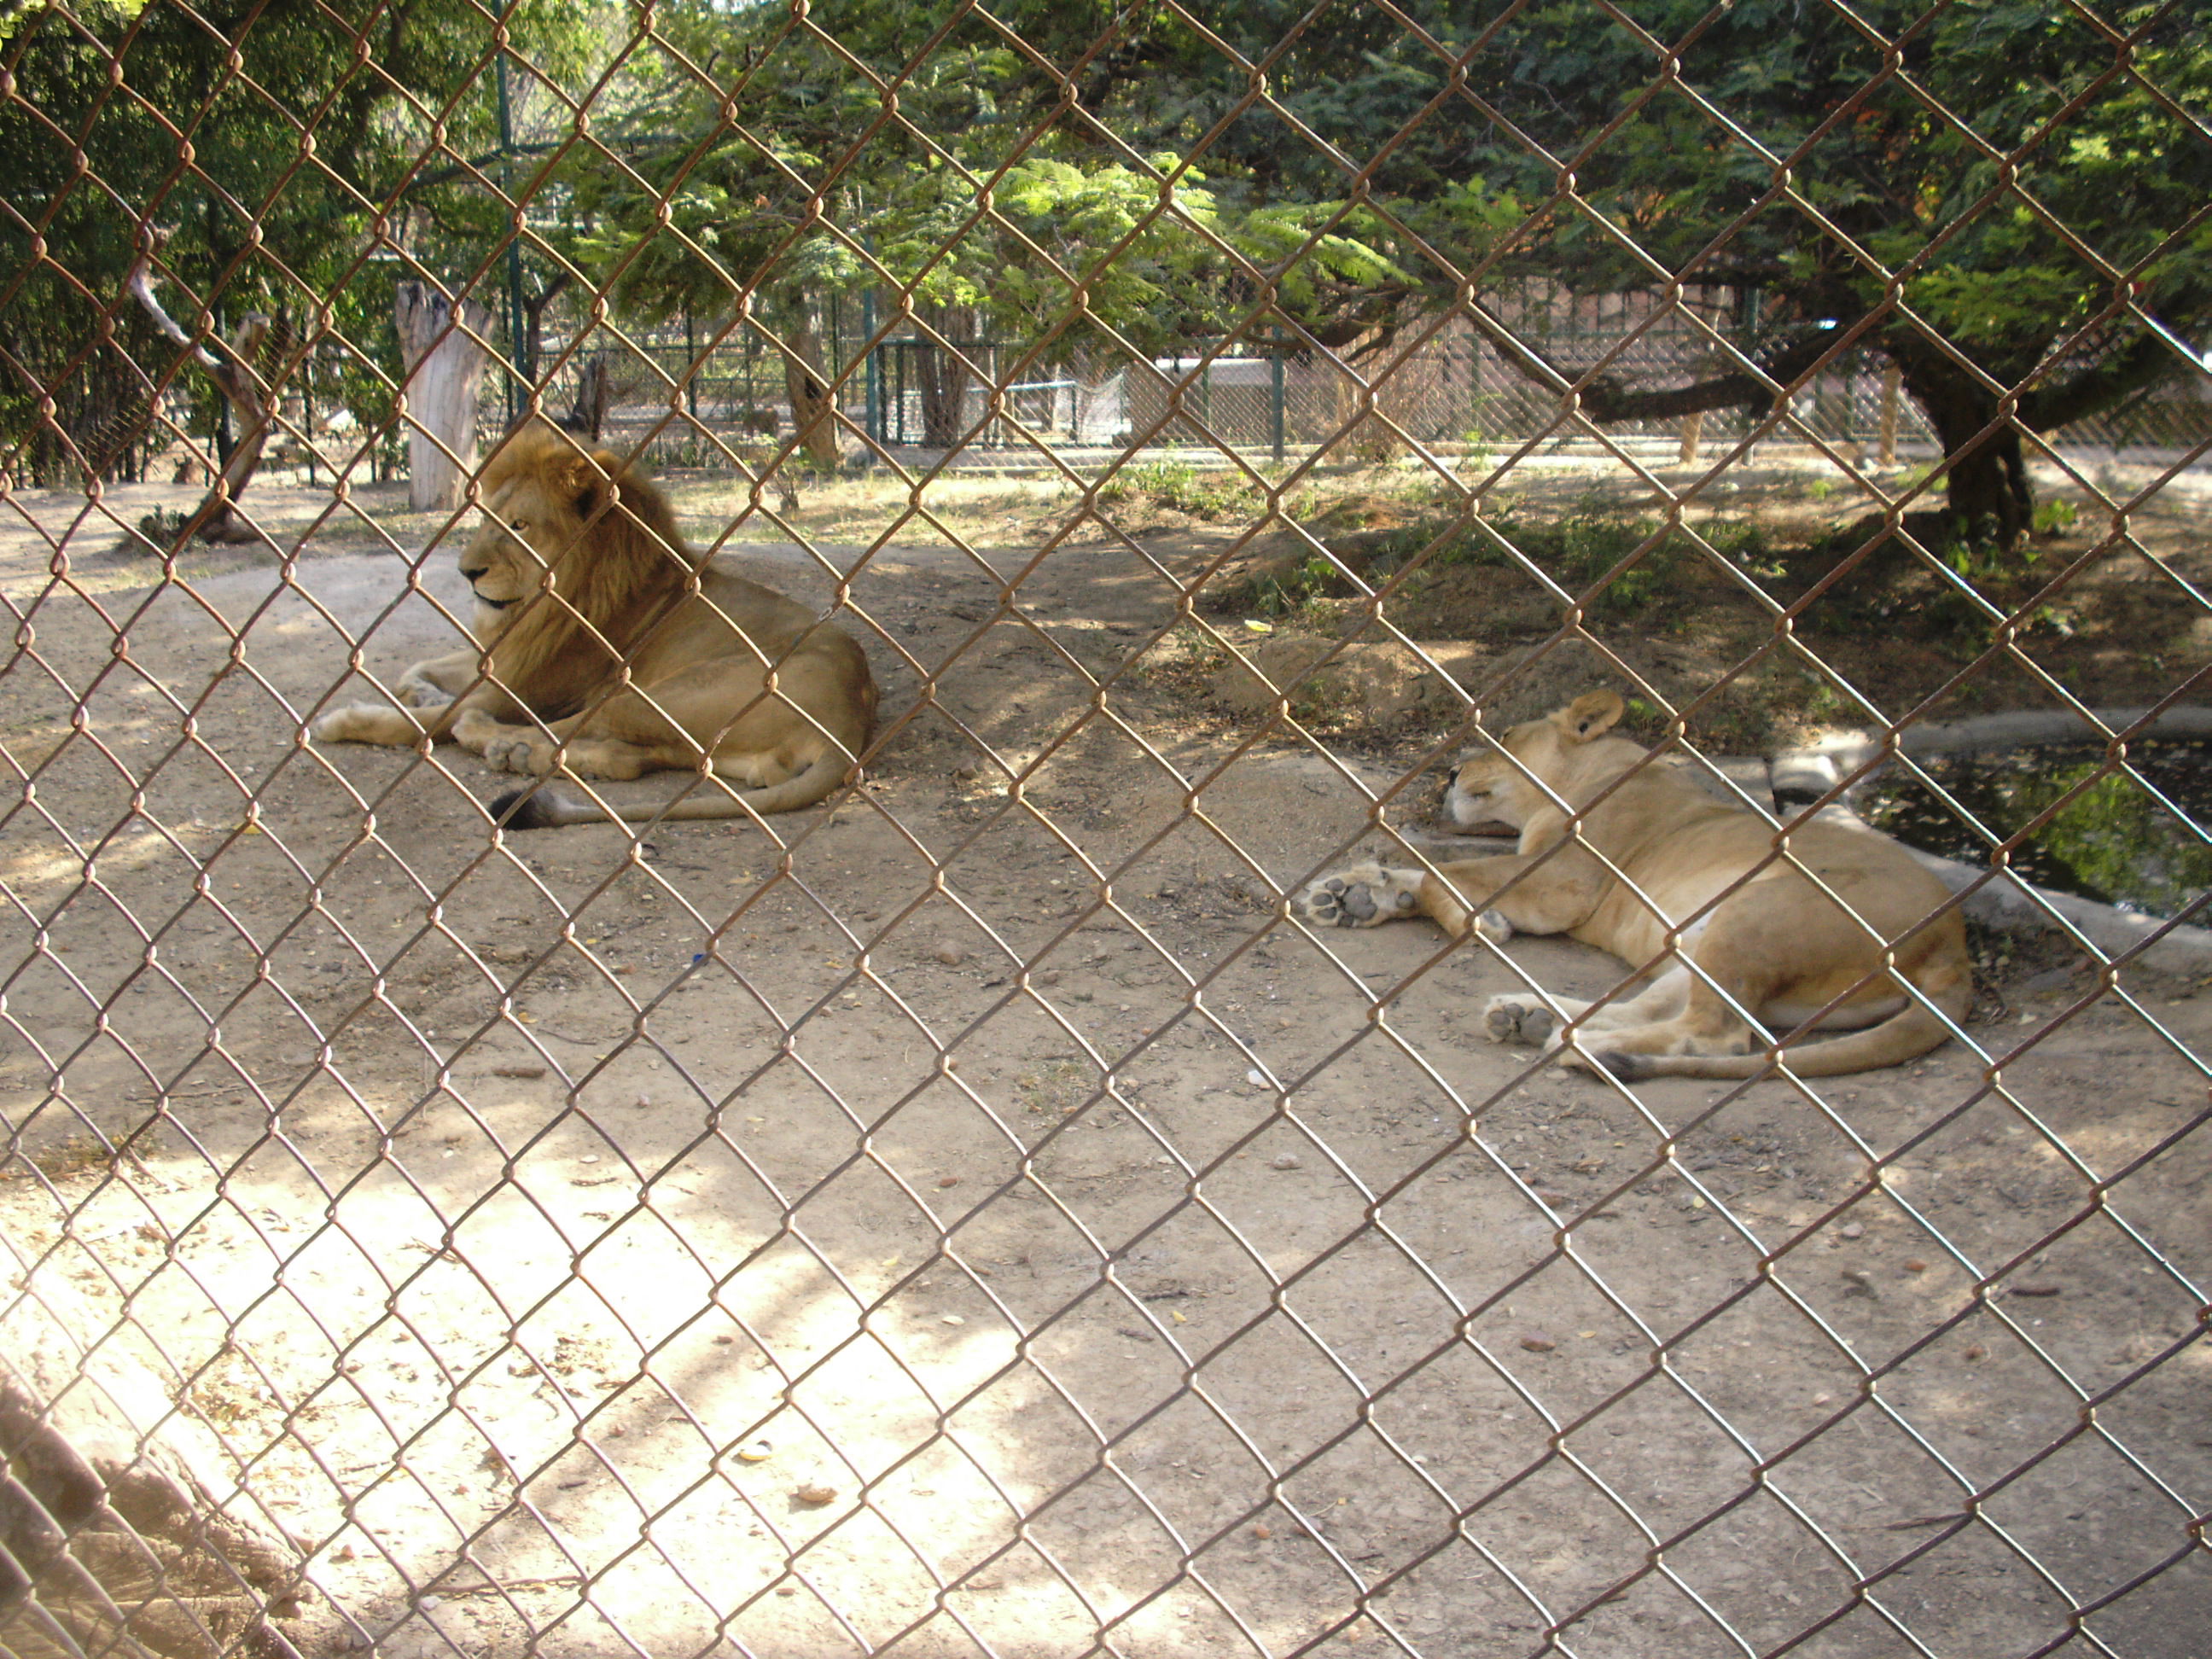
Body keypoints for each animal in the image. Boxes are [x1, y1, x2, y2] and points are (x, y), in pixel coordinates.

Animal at [316, 422, 876, 827]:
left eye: (519, 526)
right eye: (486, 519)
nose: (466, 572)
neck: (548, 603)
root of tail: (851, 719)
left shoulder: (522, 689)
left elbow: (421, 721)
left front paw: (345, 721)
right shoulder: (510, 658)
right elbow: (421, 667)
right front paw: (421, 689)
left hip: (652, 691)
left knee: (550, 733)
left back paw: (495, 739)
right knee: (631, 758)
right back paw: (518, 753)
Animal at [1291, 685, 1973, 1079]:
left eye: (1505, 736)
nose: (1453, 774)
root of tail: (1955, 944)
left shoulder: (1567, 879)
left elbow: (1446, 873)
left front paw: (1475, 919)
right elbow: (1427, 869)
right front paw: (1355, 895)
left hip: (1762, 910)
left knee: (1720, 1038)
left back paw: (1580, 1048)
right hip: (1704, 939)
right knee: (1662, 1007)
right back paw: (1530, 1016)